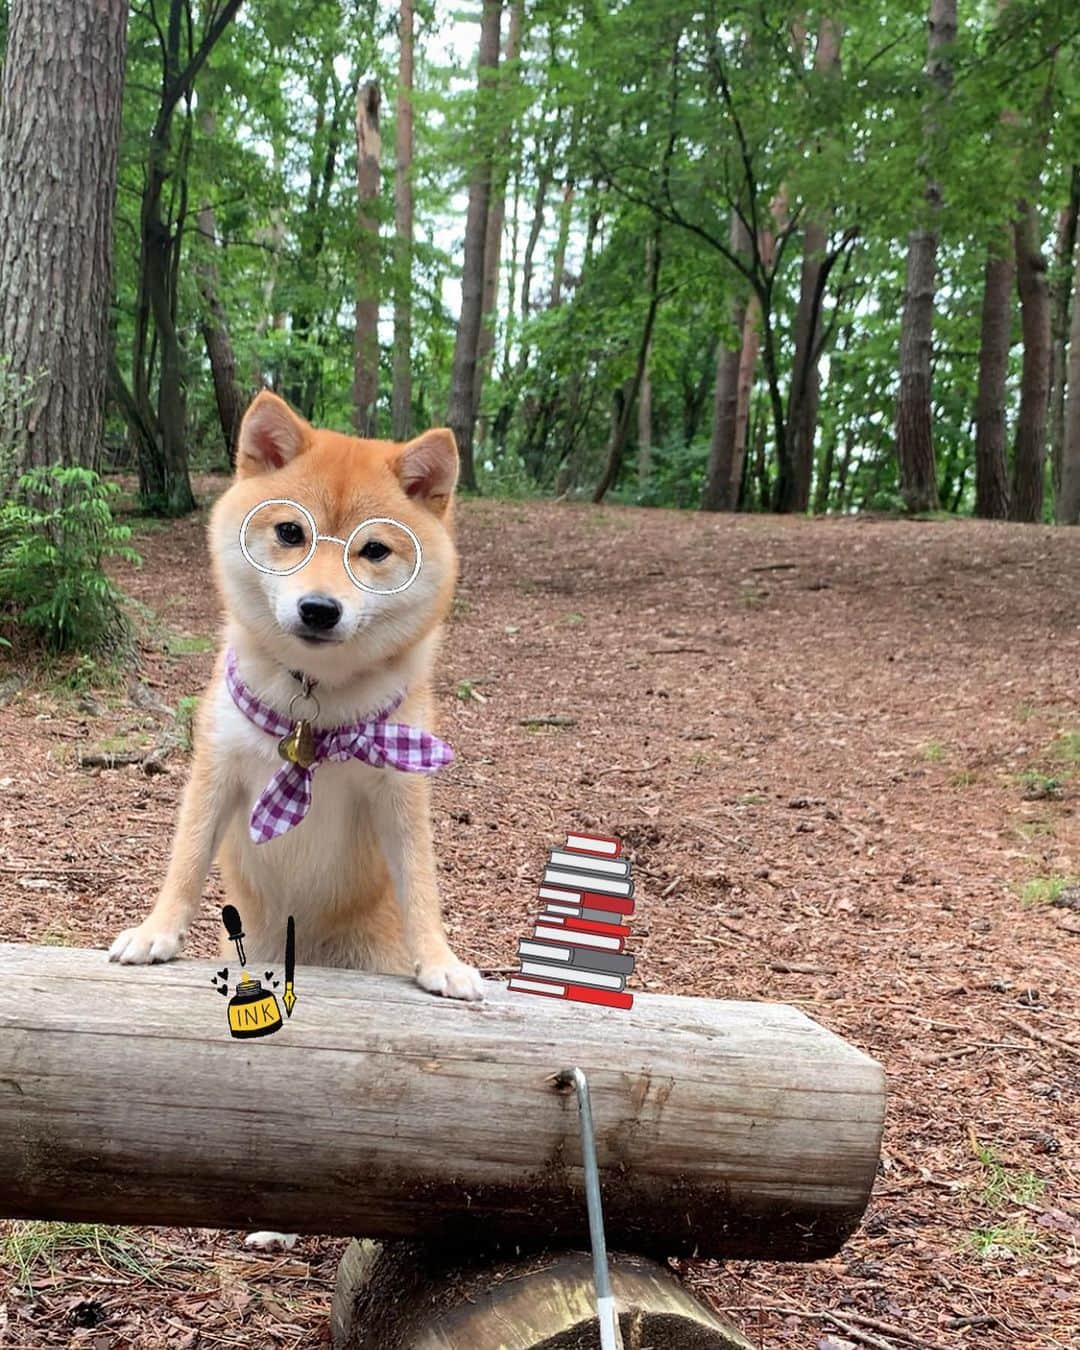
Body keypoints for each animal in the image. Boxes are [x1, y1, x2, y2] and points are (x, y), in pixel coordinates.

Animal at [108, 391, 480, 1004]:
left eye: (374, 549)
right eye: (289, 532)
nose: (319, 609)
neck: (314, 700)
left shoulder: (398, 792)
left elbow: (420, 882)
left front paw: (439, 960)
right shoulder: (218, 770)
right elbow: (187, 859)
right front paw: (155, 932)